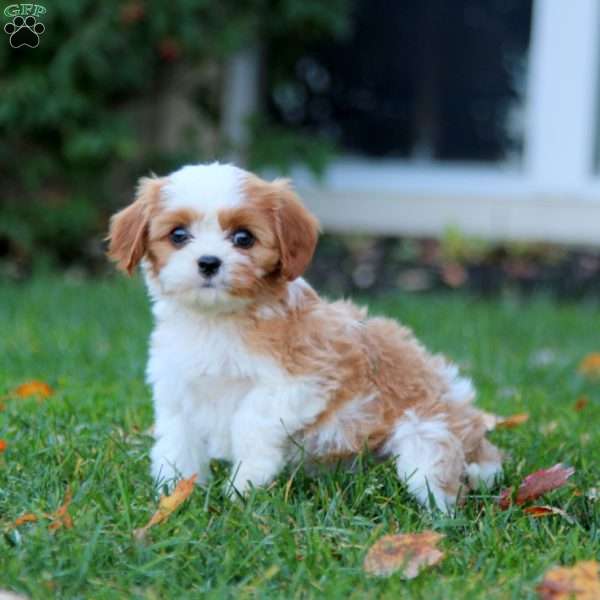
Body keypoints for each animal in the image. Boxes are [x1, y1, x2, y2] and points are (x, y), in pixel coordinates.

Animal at [109, 163, 502, 510]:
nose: (208, 262)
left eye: (243, 238)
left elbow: (248, 421)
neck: (215, 321)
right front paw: (174, 495)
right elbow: (177, 443)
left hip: (425, 436)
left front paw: (243, 486)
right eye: (178, 235)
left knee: (438, 480)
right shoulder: (177, 389)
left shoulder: (305, 378)